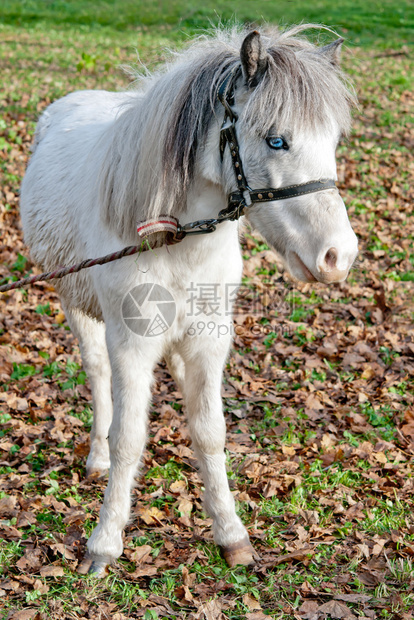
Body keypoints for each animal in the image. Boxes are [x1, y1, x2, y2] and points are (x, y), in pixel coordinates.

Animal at [19, 26, 358, 572]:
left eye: (332, 142)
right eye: (276, 139)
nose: (338, 256)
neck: (175, 239)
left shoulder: (208, 341)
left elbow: (210, 431)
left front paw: (231, 534)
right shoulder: (131, 345)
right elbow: (129, 437)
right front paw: (104, 543)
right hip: (77, 307)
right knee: (97, 375)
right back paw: (97, 459)